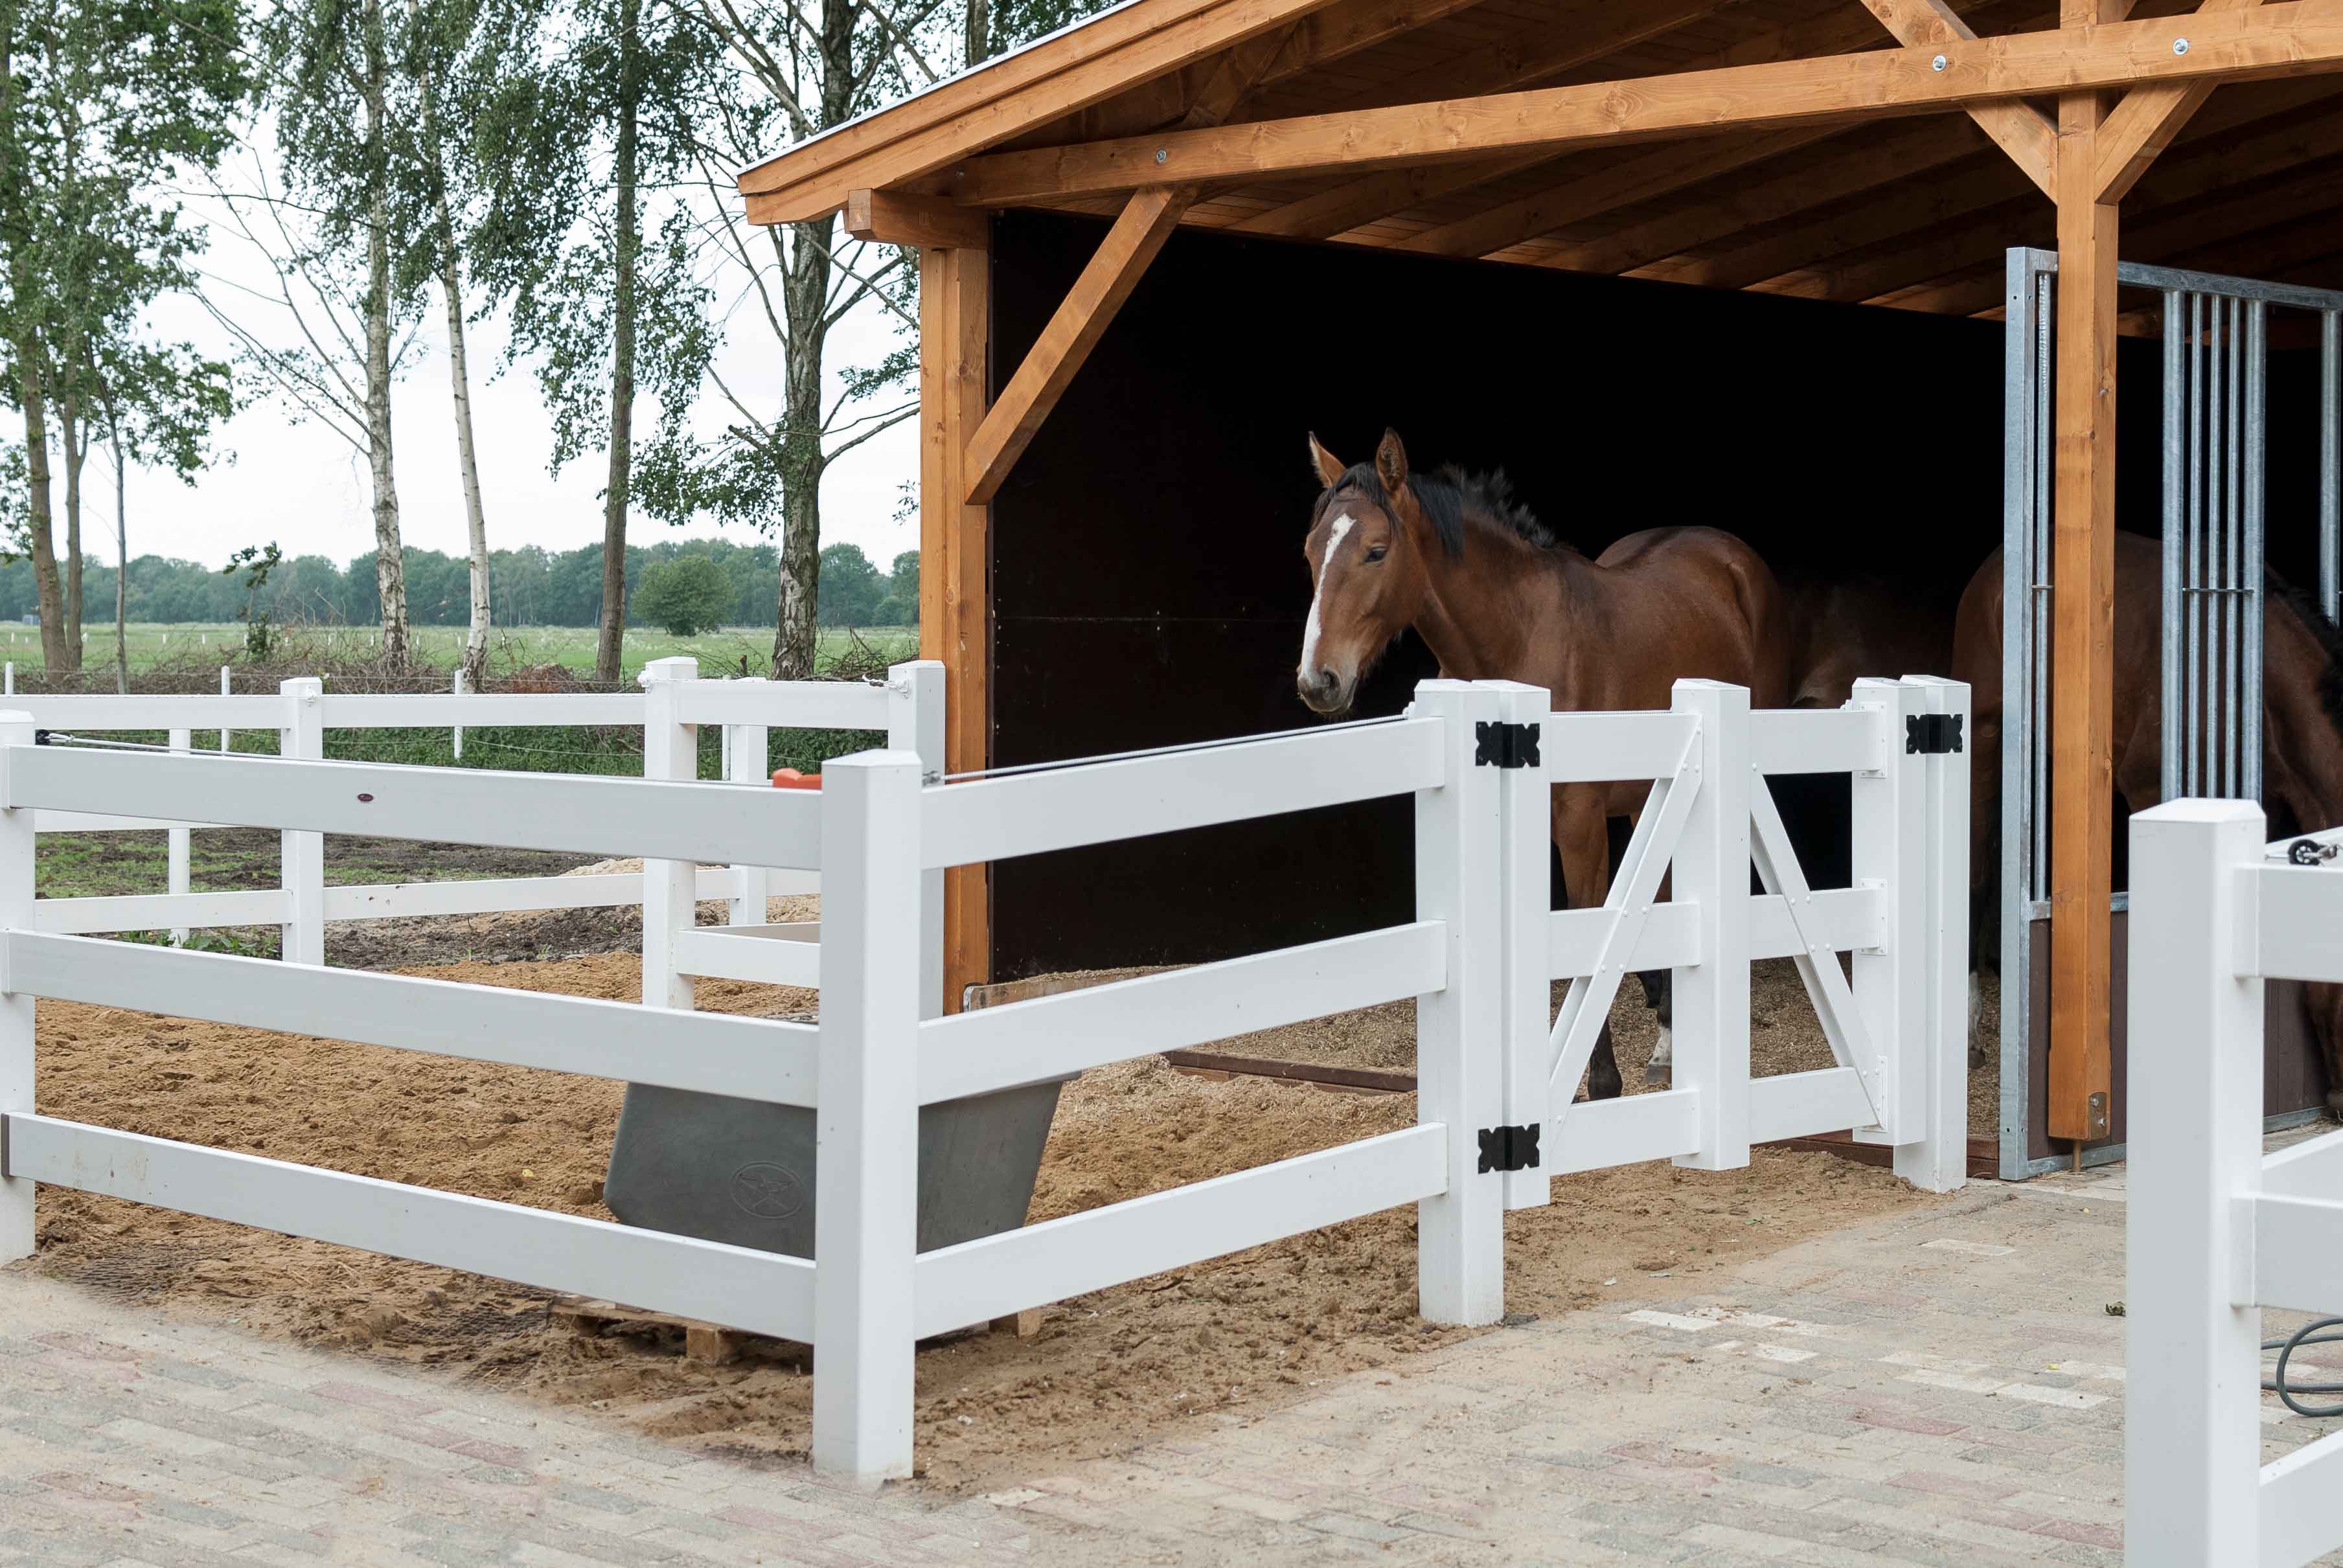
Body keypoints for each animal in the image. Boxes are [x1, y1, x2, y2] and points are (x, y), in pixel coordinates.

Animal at [1294, 428, 1792, 1100]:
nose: (1318, 680)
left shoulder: (1578, 825)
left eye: (1376, 551)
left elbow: (1585, 931)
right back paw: (1668, 1039)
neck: (1518, 642)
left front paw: (1600, 1082)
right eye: (1310, 552)